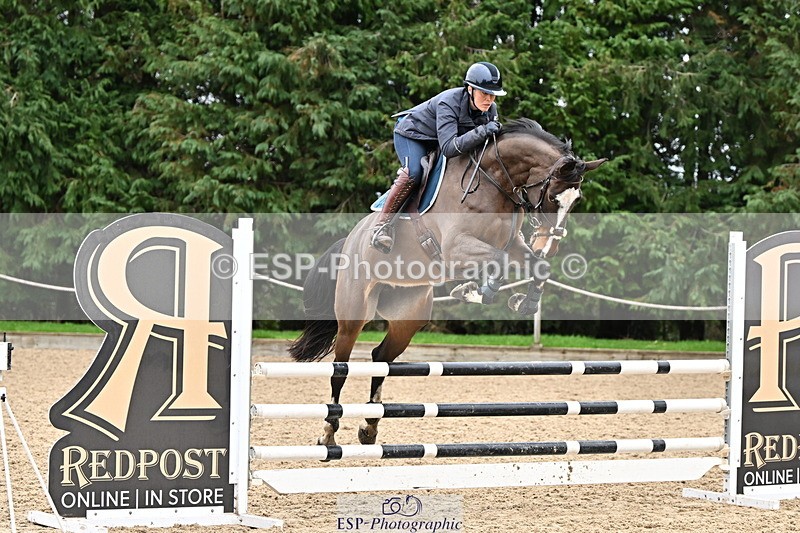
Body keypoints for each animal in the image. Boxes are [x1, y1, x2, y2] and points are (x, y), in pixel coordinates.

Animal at [288, 118, 606, 446]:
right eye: (554, 197)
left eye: (576, 201)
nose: (550, 245)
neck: (494, 182)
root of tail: (350, 240)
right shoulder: (457, 249)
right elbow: (499, 261)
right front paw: (476, 291)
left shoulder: (514, 245)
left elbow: (536, 266)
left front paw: (522, 302)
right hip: (353, 314)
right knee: (341, 367)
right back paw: (328, 432)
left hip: (408, 317)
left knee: (380, 357)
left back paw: (370, 427)